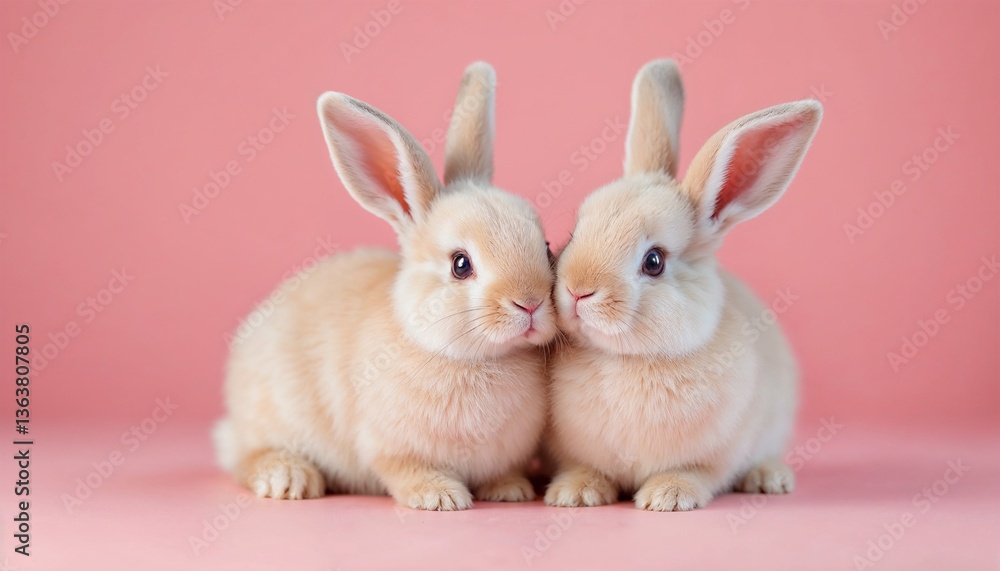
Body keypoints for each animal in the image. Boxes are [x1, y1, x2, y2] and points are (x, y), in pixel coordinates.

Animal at [214, 62, 558, 510]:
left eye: (546, 246)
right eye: (460, 265)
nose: (530, 303)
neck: (472, 357)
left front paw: (510, 491)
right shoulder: (389, 447)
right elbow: (403, 470)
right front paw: (440, 497)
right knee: (246, 458)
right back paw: (287, 479)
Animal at [544, 59, 822, 511]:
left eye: (654, 261)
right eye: (573, 233)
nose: (577, 291)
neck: (628, 358)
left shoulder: (714, 456)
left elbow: (696, 473)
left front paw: (668, 496)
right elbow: (583, 468)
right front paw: (575, 493)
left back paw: (770, 478)